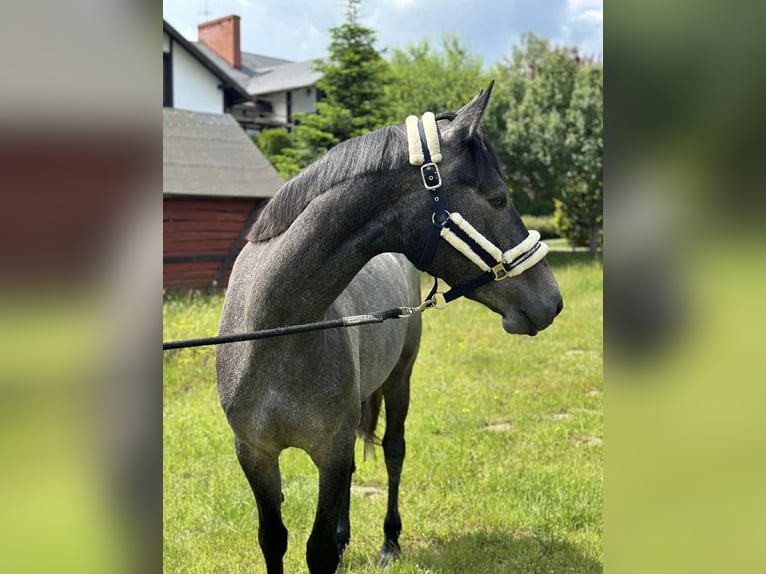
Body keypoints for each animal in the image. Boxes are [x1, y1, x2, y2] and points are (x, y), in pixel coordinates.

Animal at [216, 82, 564, 574]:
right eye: (498, 198)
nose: (552, 300)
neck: (274, 333)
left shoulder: (332, 449)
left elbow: (319, 548)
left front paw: (349, 542)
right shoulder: (254, 455)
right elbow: (273, 539)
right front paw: (334, 539)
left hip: (400, 380)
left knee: (393, 451)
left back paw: (389, 541)